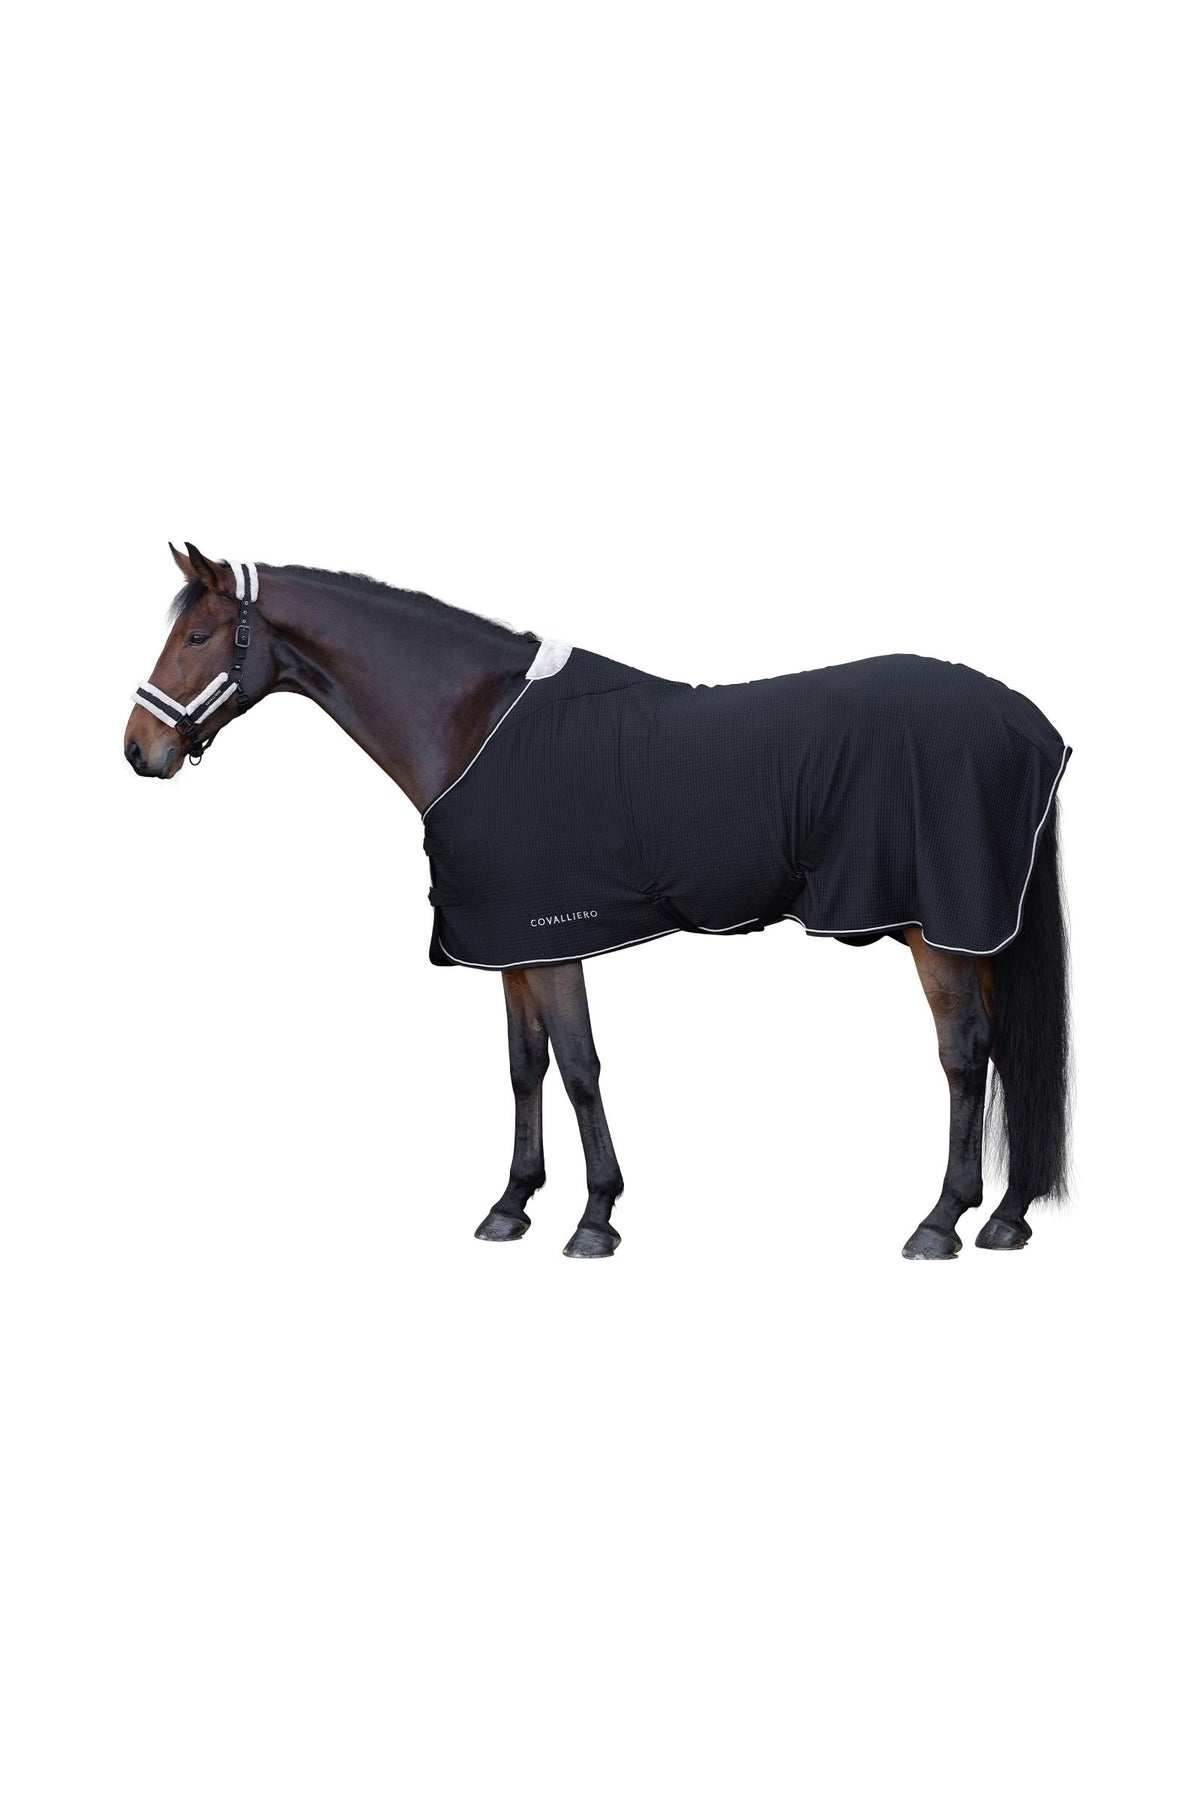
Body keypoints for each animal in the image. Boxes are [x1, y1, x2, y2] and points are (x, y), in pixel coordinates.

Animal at [125, 544, 1072, 1261]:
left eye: (200, 634)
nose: (139, 750)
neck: (474, 726)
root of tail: (1029, 723)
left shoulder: (552, 939)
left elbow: (580, 1068)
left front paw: (594, 1219)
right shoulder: (507, 942)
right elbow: (524, 1068)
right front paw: (511, 1205)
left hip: (940, 930)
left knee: (965, 1054)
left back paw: (940, 1223)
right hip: (981, 932)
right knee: (1009, 1050)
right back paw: (1007, 1217)